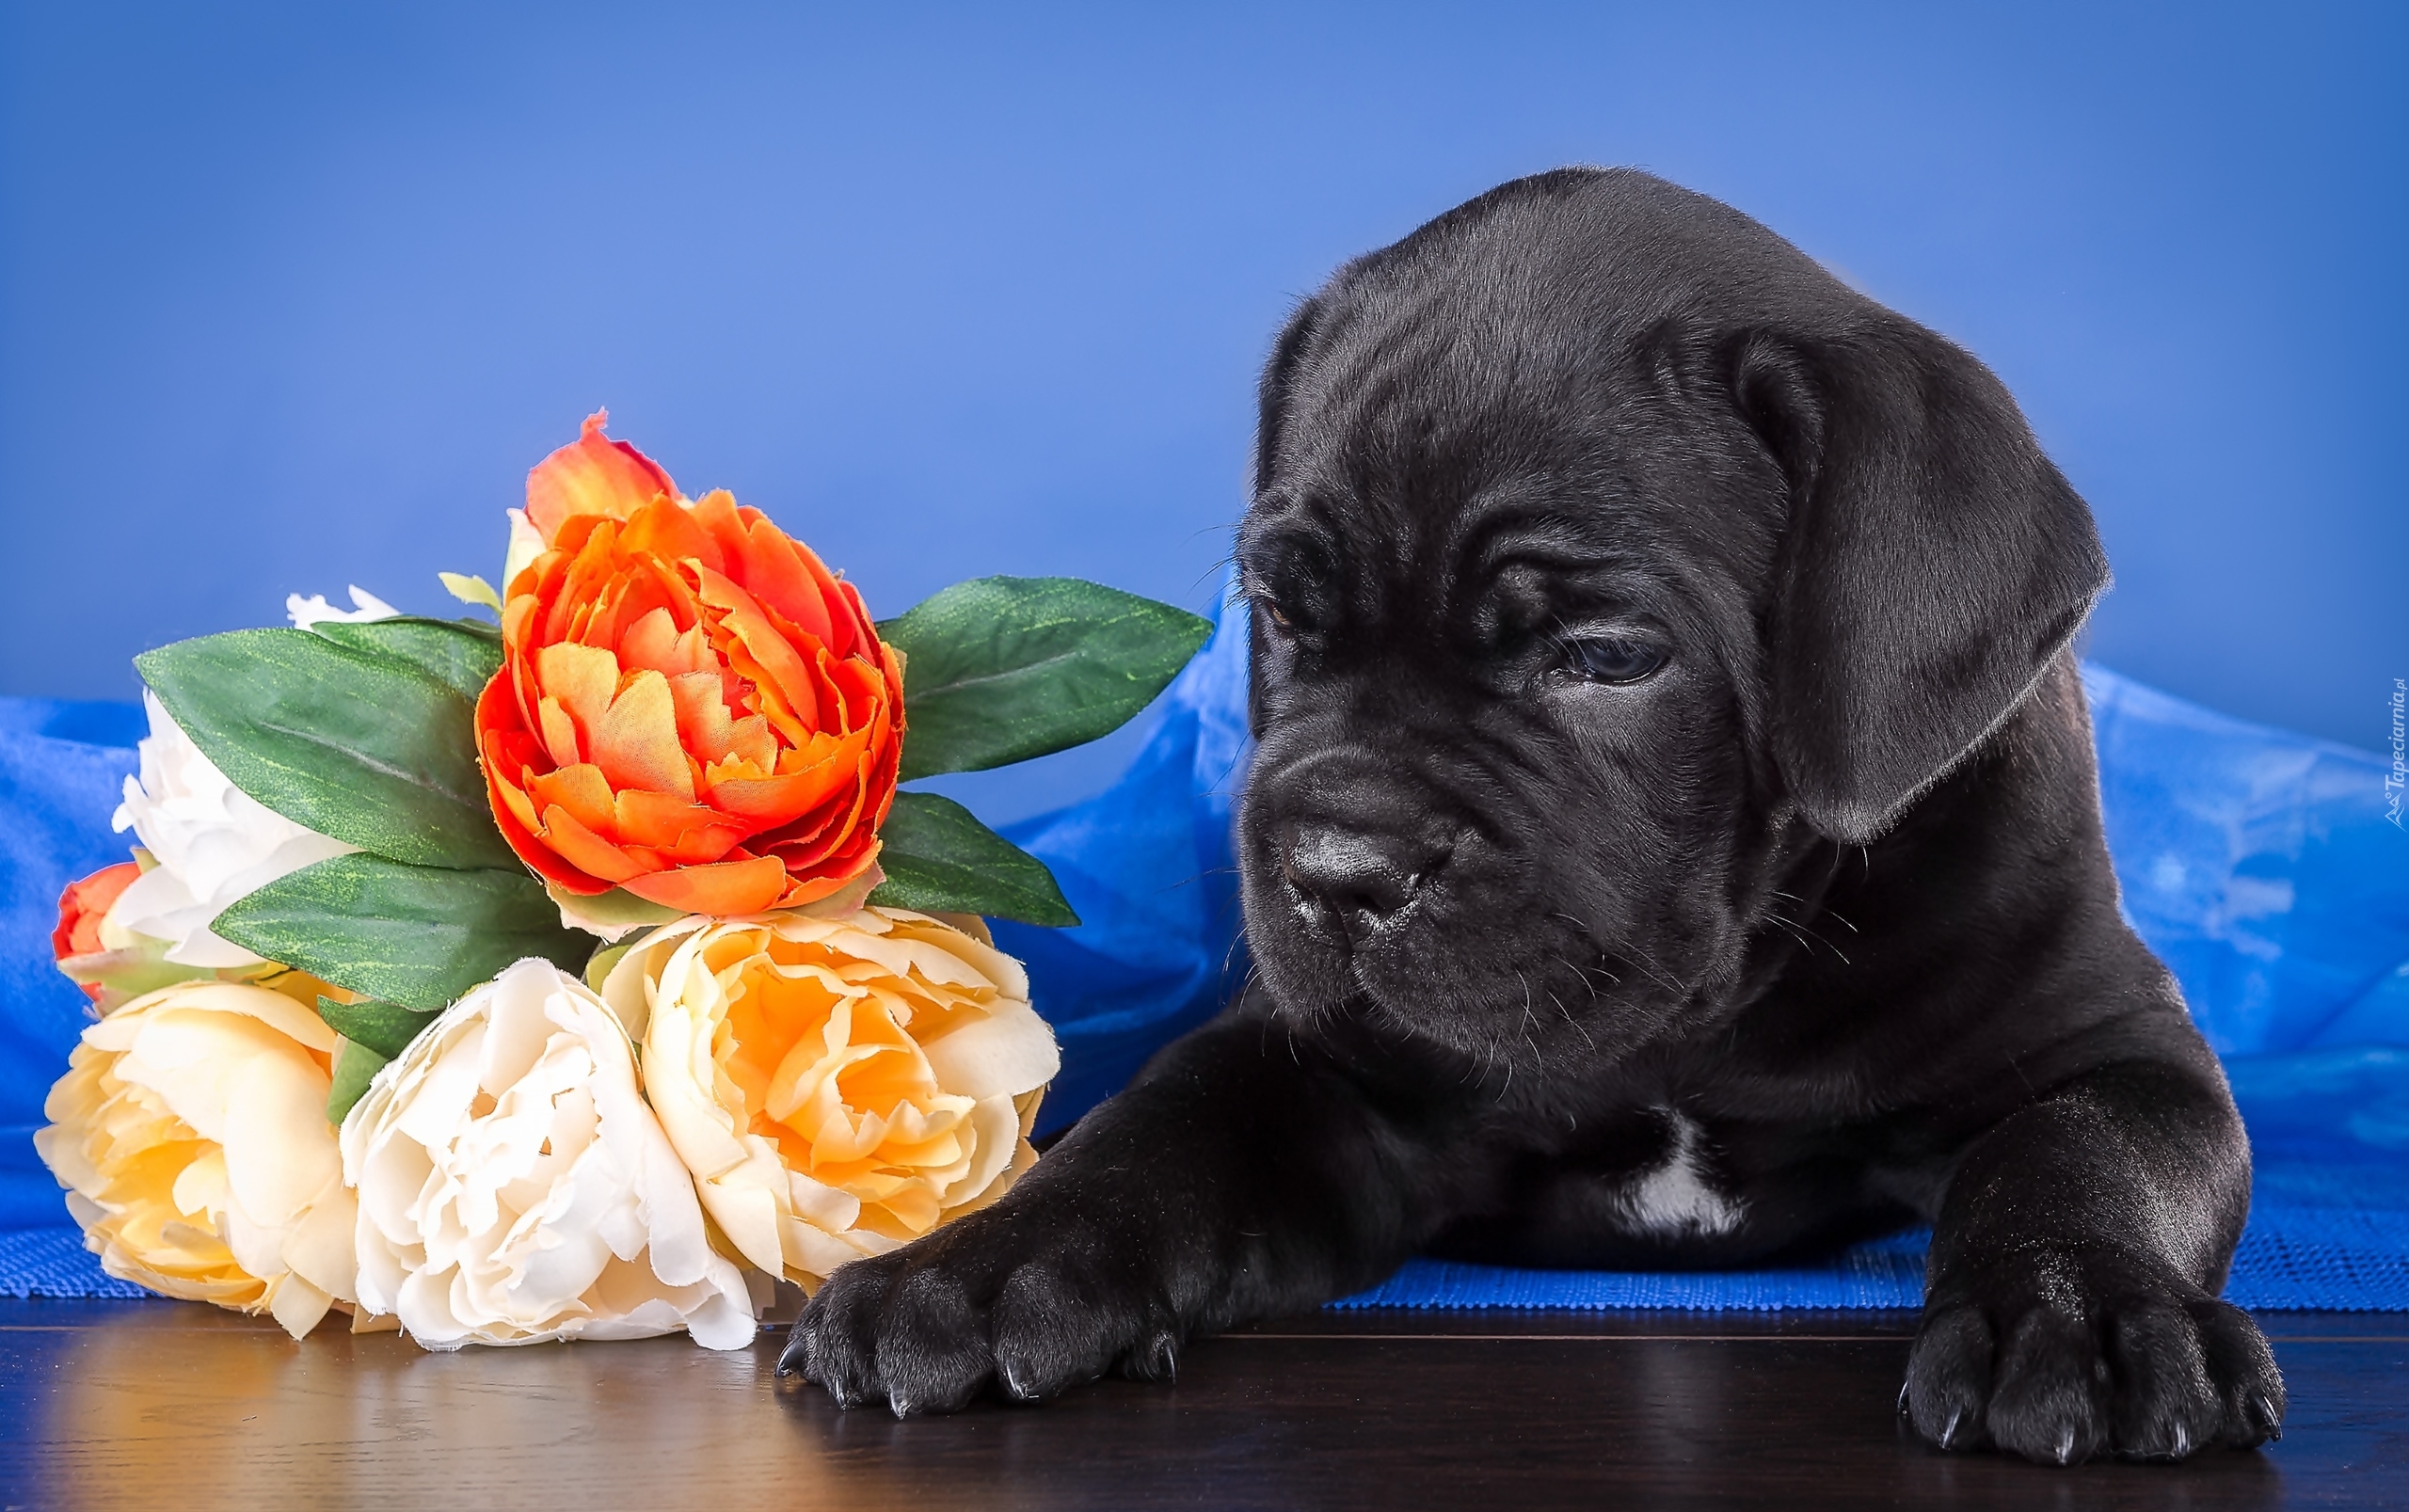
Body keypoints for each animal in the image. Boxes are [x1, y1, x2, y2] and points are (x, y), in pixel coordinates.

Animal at [780, 165, 2283, 1463]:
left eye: (1608, 658)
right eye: (1282, 612)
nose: (1339, 868)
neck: (1711, 1003)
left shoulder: (2108, 1042)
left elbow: (2082, 1152)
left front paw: (2084, 1314)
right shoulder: (1321, 1071)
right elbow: (1156, 1128)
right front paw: (974, 1267)